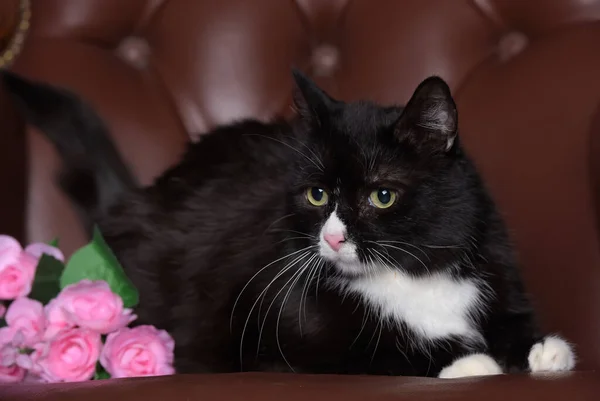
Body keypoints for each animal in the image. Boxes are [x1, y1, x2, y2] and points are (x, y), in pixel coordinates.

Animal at [3, 69, 576, 378]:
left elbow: (510, 320)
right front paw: (468, 361)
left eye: (382, 195)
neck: (409, 274)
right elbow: (370, 347)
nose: (334, 236)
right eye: (317, 195)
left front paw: (541, 348)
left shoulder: (491, 264)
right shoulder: (278, 326)